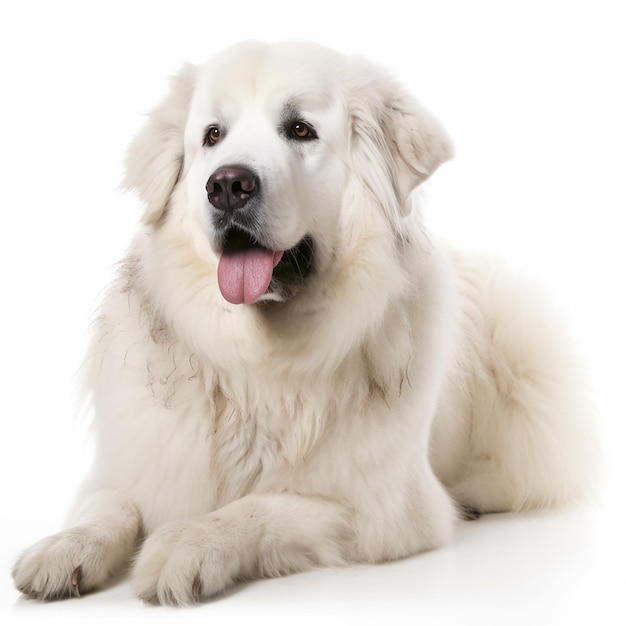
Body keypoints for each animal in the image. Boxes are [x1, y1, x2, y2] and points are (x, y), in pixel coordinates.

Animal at [11, 40, 596, 604]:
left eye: (300, 130)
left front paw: (190, 541)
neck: (257, 367)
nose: (228, 185)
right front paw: (63, 548)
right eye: (212, 136)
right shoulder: (129, 467)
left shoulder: (379, 507)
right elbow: (111, 506)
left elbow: (265, 503)